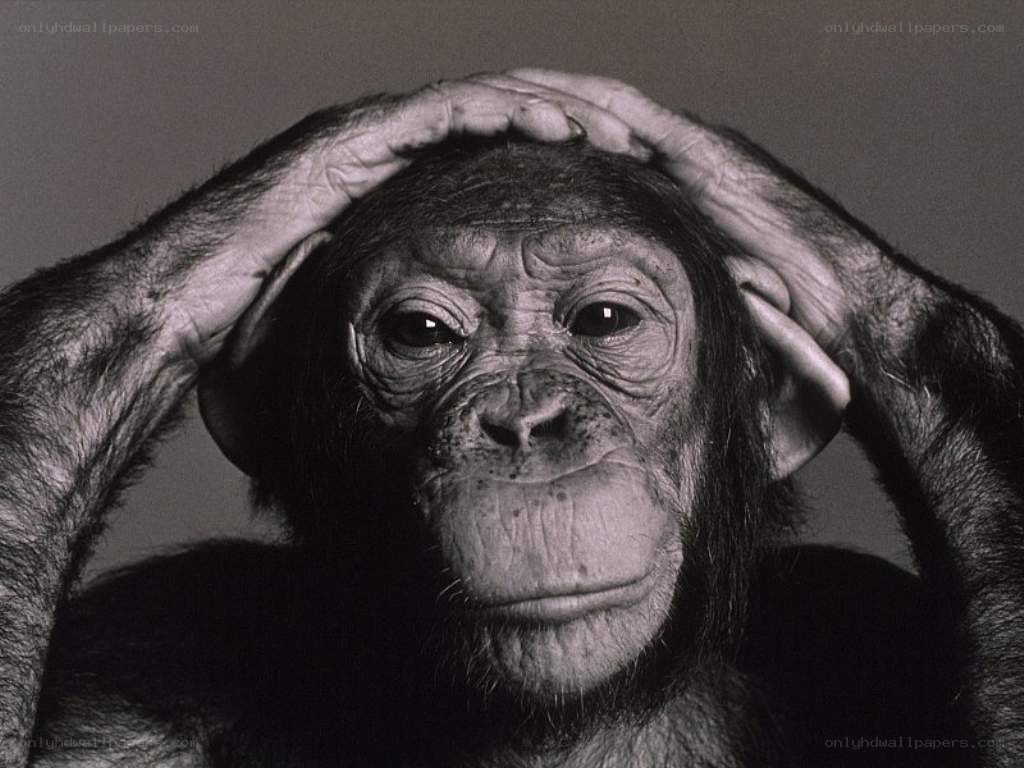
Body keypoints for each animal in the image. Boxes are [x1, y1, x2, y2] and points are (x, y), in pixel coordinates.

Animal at [0, 71, 1021, 767]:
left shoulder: (861, 620)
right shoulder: (130, 676)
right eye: (420, 333)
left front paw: (748, 191)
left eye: (603, 321)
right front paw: (333, 155)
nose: (526, 424)